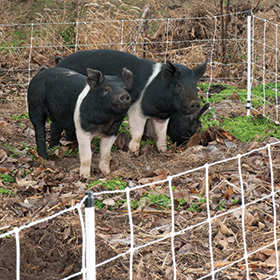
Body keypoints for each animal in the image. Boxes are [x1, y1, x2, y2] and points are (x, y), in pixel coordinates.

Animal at [55, 50, 208, 155]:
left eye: (195, 85)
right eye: (179, 85)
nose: (196, 103)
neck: (163, 107)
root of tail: (59, 63)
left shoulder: (162, 117)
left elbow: (161, 134)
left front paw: (163, 151)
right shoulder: (136, 110)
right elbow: (138, 133)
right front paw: (134, 152)